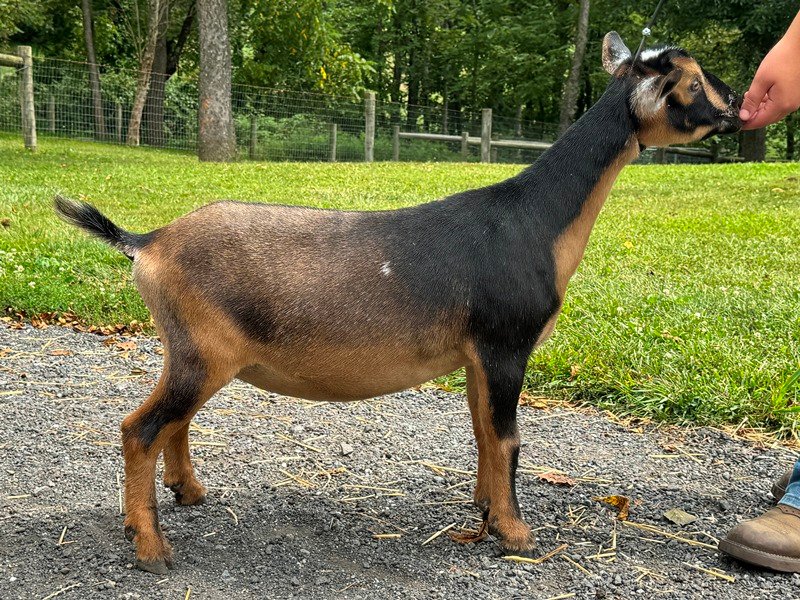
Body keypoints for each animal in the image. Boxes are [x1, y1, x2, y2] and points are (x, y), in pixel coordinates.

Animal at [55, 32, 741, 574]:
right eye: (694, 81)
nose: (738, 103)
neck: (535, 221)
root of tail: (147, 242)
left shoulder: (476, 355)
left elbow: (484, 433)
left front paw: (485, 511)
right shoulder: (506, 344)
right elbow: (509, 440)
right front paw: (517, 535)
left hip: (194, 352)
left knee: (172, 422)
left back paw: (189, 494)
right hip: (203, 351)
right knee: (140, 428)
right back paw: (151, 548)